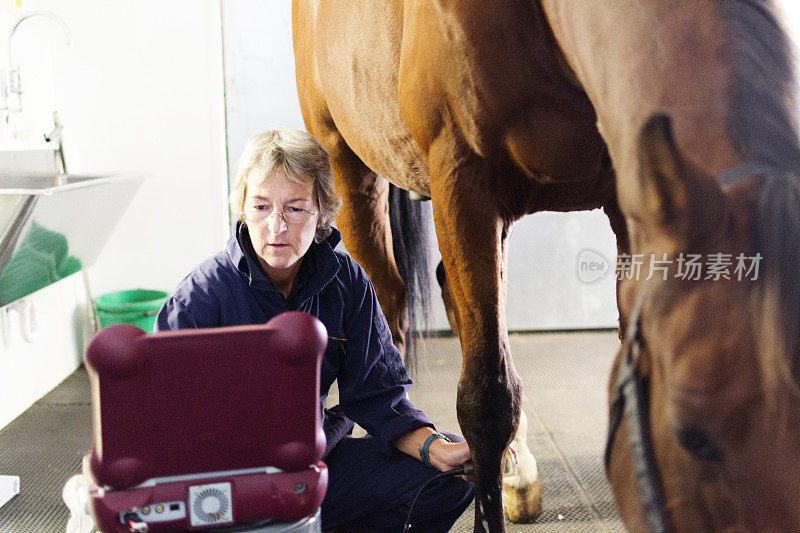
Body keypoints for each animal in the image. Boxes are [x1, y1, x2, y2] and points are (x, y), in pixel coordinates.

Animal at [290, 2, 800, 528]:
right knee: (389, 303)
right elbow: (487, 400)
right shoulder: (463, 181)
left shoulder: (624, 198)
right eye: (690, 434)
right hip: (346, 162)